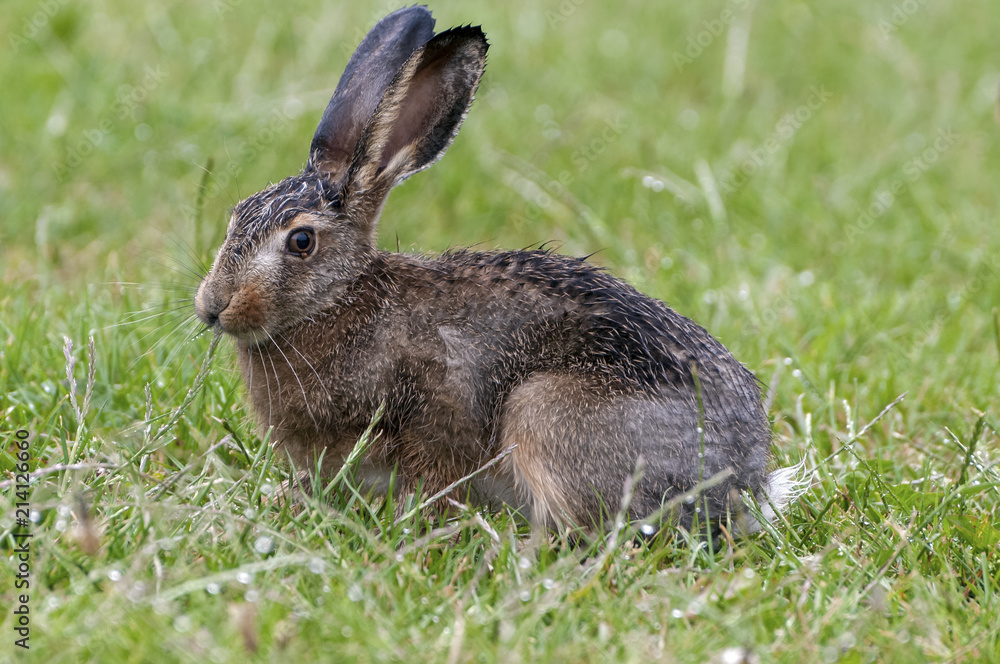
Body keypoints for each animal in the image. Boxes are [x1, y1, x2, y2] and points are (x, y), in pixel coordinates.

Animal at [194, 6, 798, 534]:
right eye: (235, 214)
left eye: (301, 242)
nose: (212, 307)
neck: (339, 298)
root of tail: (744, 484)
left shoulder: (431, 416)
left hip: (544, 414)